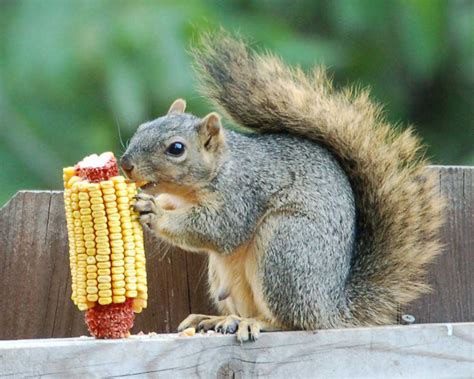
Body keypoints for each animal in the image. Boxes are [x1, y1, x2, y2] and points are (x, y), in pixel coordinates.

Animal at [119, 31, 444, 342]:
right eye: (141, 129)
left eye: (176, 149)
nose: (125, 163)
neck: (218, 170)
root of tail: (331, 308)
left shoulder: (242, 194)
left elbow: (220, 229)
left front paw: (154, 212)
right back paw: (215, 319)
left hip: (285, 249)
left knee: (294, 322)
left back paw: (255, 323)